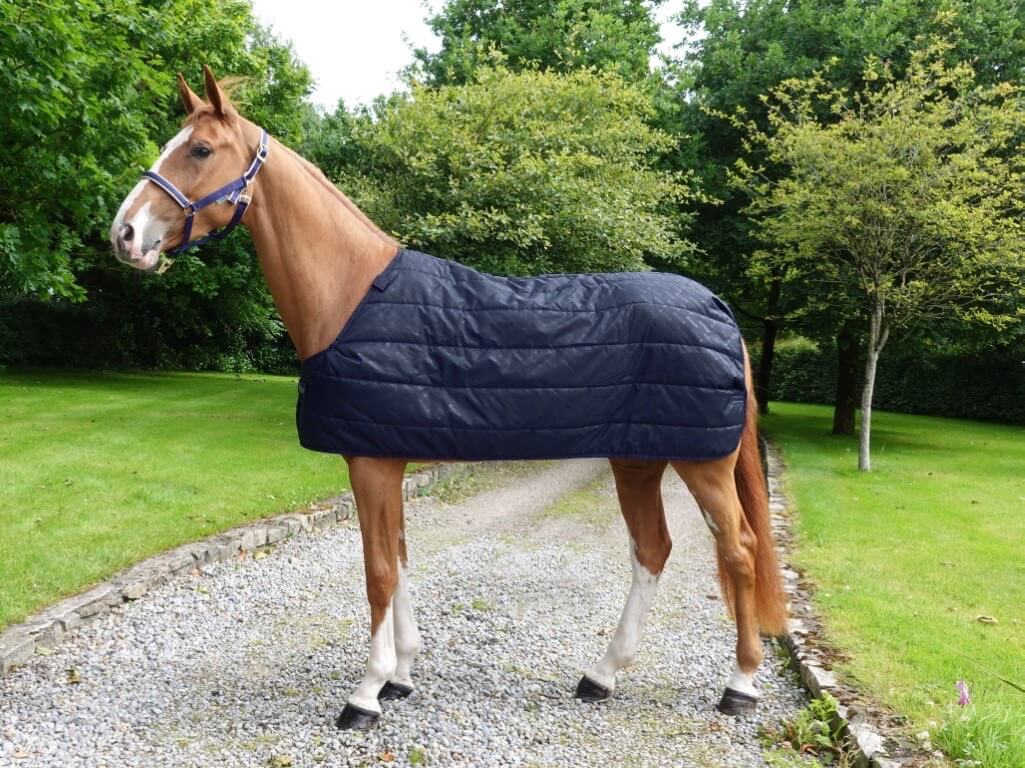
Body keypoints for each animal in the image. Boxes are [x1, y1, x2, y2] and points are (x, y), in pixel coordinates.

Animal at [109, 67, 787, 731]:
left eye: (199, 149)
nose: (124, 233)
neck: (352, 295)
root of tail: (718, 308)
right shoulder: (387, 458)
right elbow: (400, 558)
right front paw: (402, 674)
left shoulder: (371, 464)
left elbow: (378, 570)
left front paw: (366, 693)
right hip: (639, 461)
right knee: (653, 549)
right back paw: (602, 676)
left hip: (703, 465)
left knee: (740, 551)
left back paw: (740, 685)